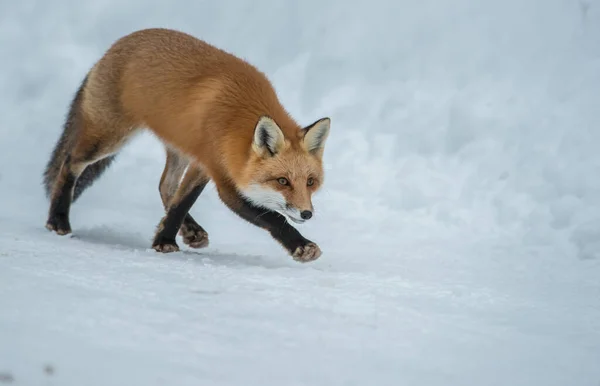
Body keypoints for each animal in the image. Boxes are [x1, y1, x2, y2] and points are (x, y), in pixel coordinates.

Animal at [42, 27, 330, 262]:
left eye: (310, 182)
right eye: (282, 181)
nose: (307, 214)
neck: (235, 120)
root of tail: (114, 47)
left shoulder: (205, 163)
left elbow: (181, 201)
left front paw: (164, 238)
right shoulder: (222, 178)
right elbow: (271, 216)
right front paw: (301, 246)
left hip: (178, 148)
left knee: (165, 185)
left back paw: (192, 231)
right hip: (109, 137)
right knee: (69, 162)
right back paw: (58, 220)